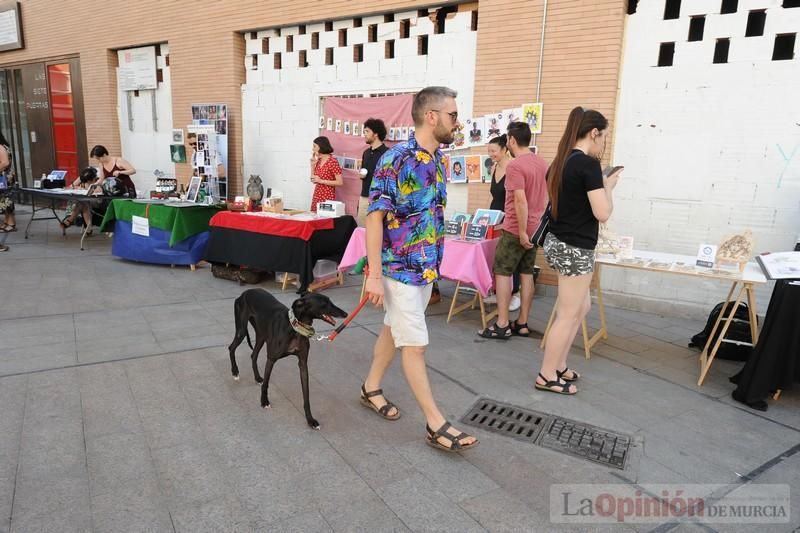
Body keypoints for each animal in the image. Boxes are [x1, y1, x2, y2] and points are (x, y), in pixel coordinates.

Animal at [228, 286, 346, 428]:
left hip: (261, 335)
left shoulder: (303, 363)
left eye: (329, 300)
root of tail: (243, 294)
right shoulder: (271, 359)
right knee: (231, 348)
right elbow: (266, 384)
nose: (345, 314)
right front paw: (264, 401)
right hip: (241, 330)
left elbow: (306, 394)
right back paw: (235, 372)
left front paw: (310, 419)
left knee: (253, 355)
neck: (295, 328)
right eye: (324, 303)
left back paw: (257, 378)